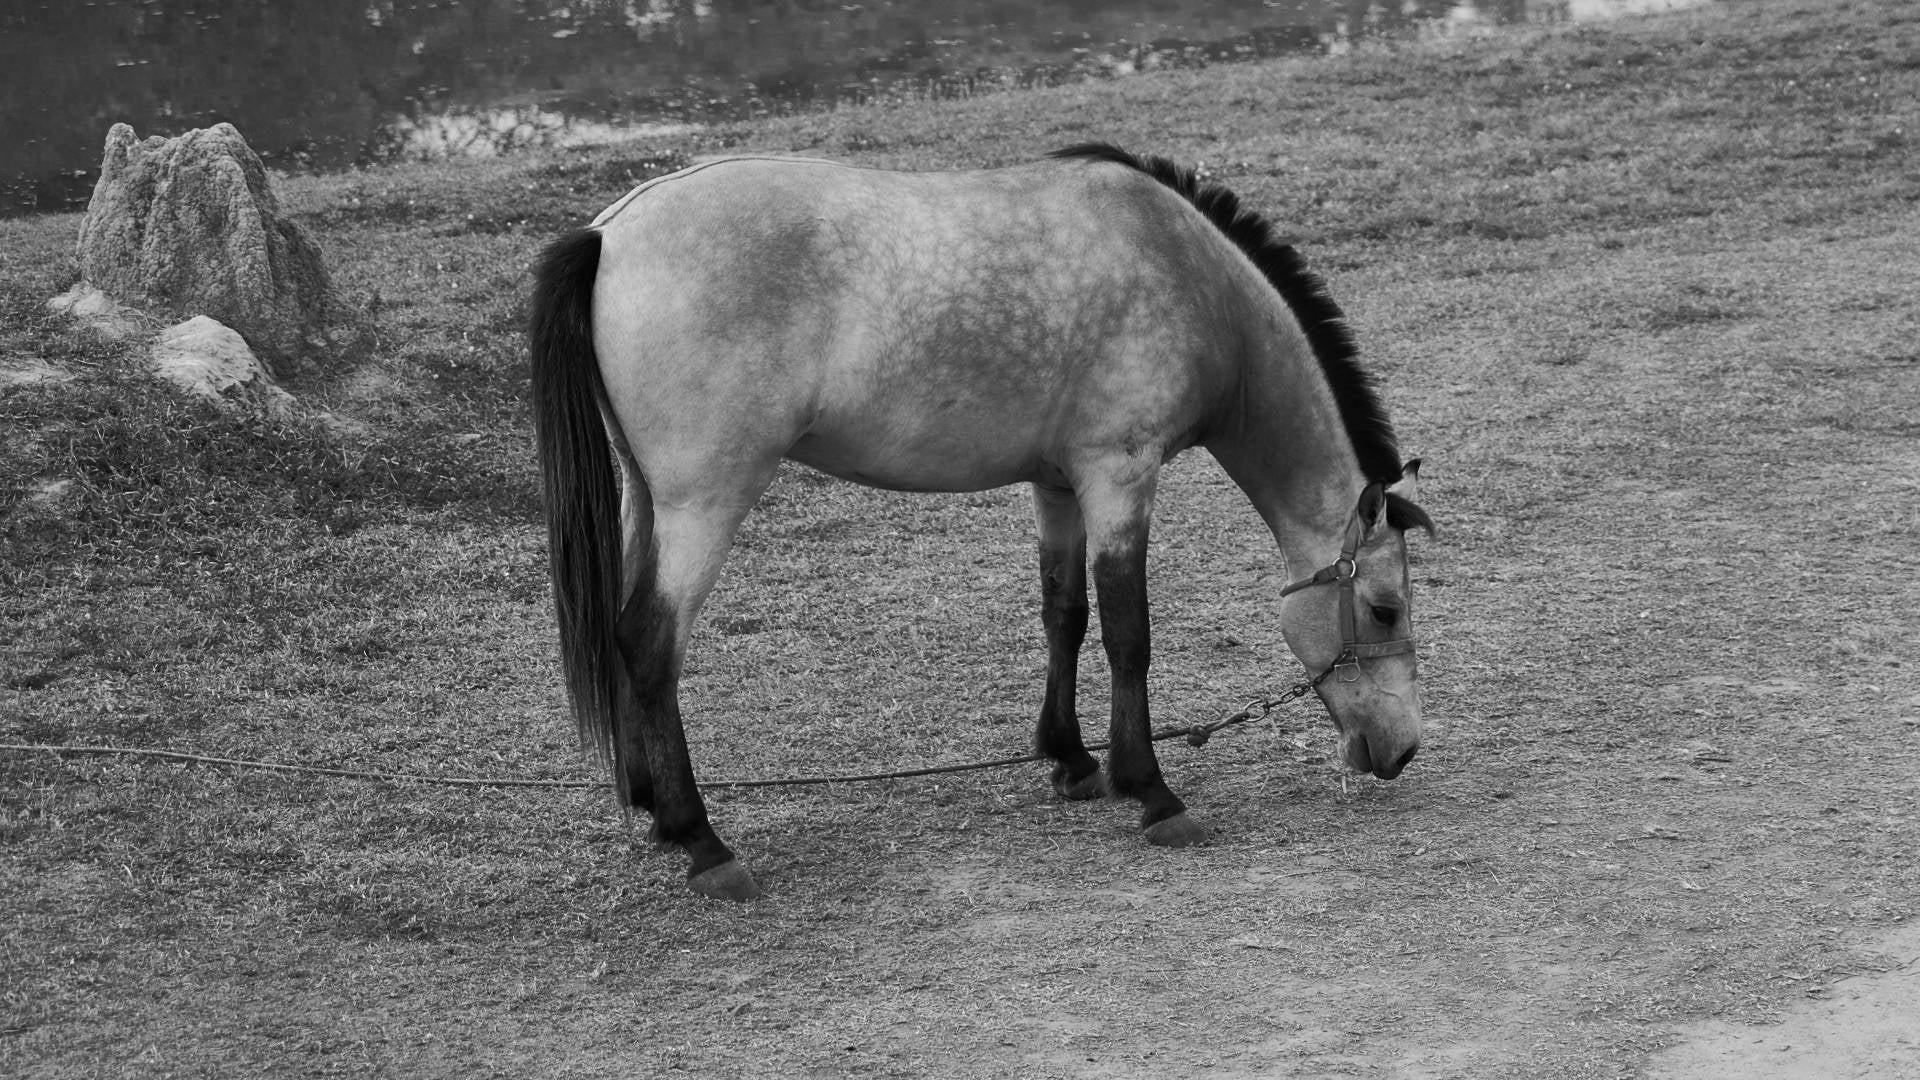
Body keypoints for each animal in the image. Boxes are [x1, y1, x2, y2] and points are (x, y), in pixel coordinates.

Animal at [528, 143, 1434, 901]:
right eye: (1385, 609)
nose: (1402, 749)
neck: (1185, 273)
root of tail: (610, 232)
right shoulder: (1120, 477)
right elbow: (1129, 634)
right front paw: (1152, 791)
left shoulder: (1060, 487)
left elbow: (1064, 616)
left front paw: (1072, 760)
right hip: (703, 506)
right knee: (650, 642)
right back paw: (702, 841)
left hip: (646, 499)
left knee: (624, 637)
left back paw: (652, 808)